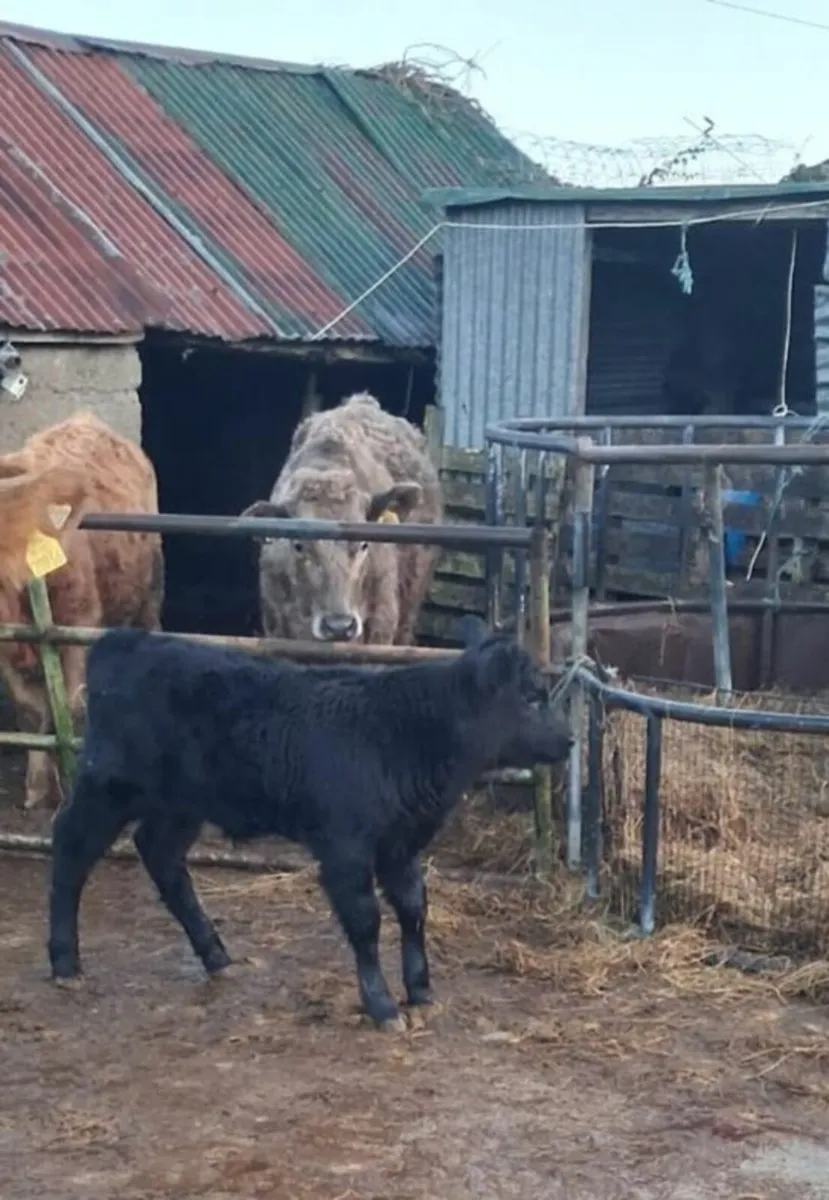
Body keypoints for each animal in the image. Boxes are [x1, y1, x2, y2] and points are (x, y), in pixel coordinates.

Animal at [47, 615, 572, 1030]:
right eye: (531, 697)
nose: (568, 740)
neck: (404, 733)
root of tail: (126, 641)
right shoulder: (346, 847)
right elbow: (365, 919)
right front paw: (382, 1006)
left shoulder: (401, 844)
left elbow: (412, 909)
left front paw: (420, 990)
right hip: (108, 784)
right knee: (71, 847)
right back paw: (65, 960)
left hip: (180, 803)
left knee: (161, 856)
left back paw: (215, 954)